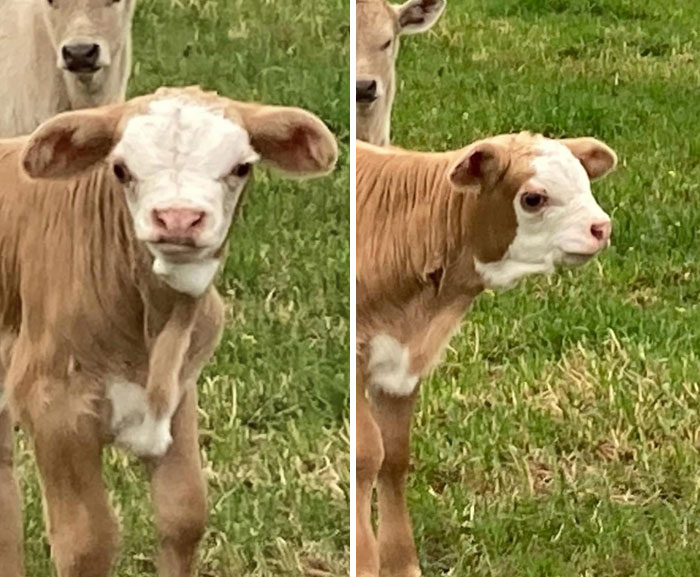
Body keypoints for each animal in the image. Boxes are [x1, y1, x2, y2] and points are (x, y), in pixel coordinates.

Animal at [0, 85, 336, 576]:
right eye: (120, 169)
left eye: (240, 167)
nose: (177, 218)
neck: (156, 330)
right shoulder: (52, 404)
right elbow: (87, 541)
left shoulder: (180, 390)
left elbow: (184, 514)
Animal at [358, 133, 616, 572]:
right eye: (533, 199)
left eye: (585, 181)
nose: (601, 227)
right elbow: (365, 455)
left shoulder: (401, 364)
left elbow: (393, 457)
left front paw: (400, 565)